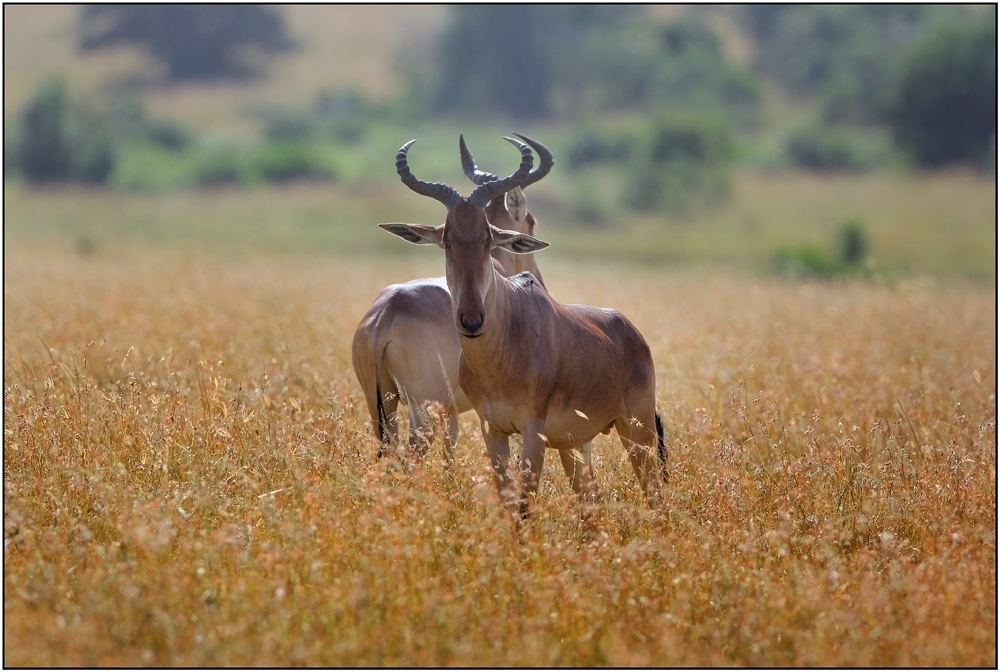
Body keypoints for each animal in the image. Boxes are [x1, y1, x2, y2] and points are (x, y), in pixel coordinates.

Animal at [352, 133, 556, 456]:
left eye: (486, 235)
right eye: (531, 220)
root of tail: (384, 315)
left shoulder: (452, 411)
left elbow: (451, 447)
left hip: (381, 406)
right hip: (421, 410)